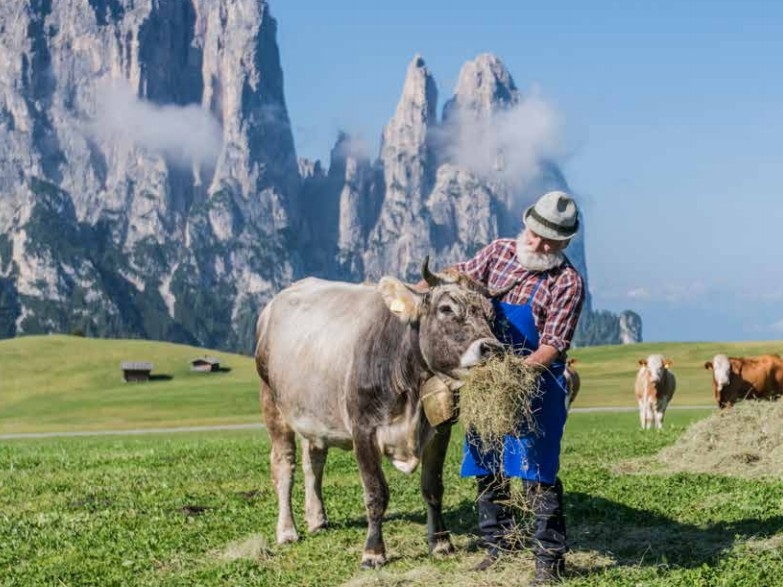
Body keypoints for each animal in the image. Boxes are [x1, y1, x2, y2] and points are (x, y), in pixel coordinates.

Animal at [254, 260, 506, 568]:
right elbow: (376, 493)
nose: (492, 349)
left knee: (313, 461)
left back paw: (317, 519)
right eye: (446, 309)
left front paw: (441, 543)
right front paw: (373, 552)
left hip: (314, 413)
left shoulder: (440, 430)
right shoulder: (363, 430)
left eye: (491, 314)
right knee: (283, 465)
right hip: (272, 404)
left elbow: (433, 487)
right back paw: (287, 531)